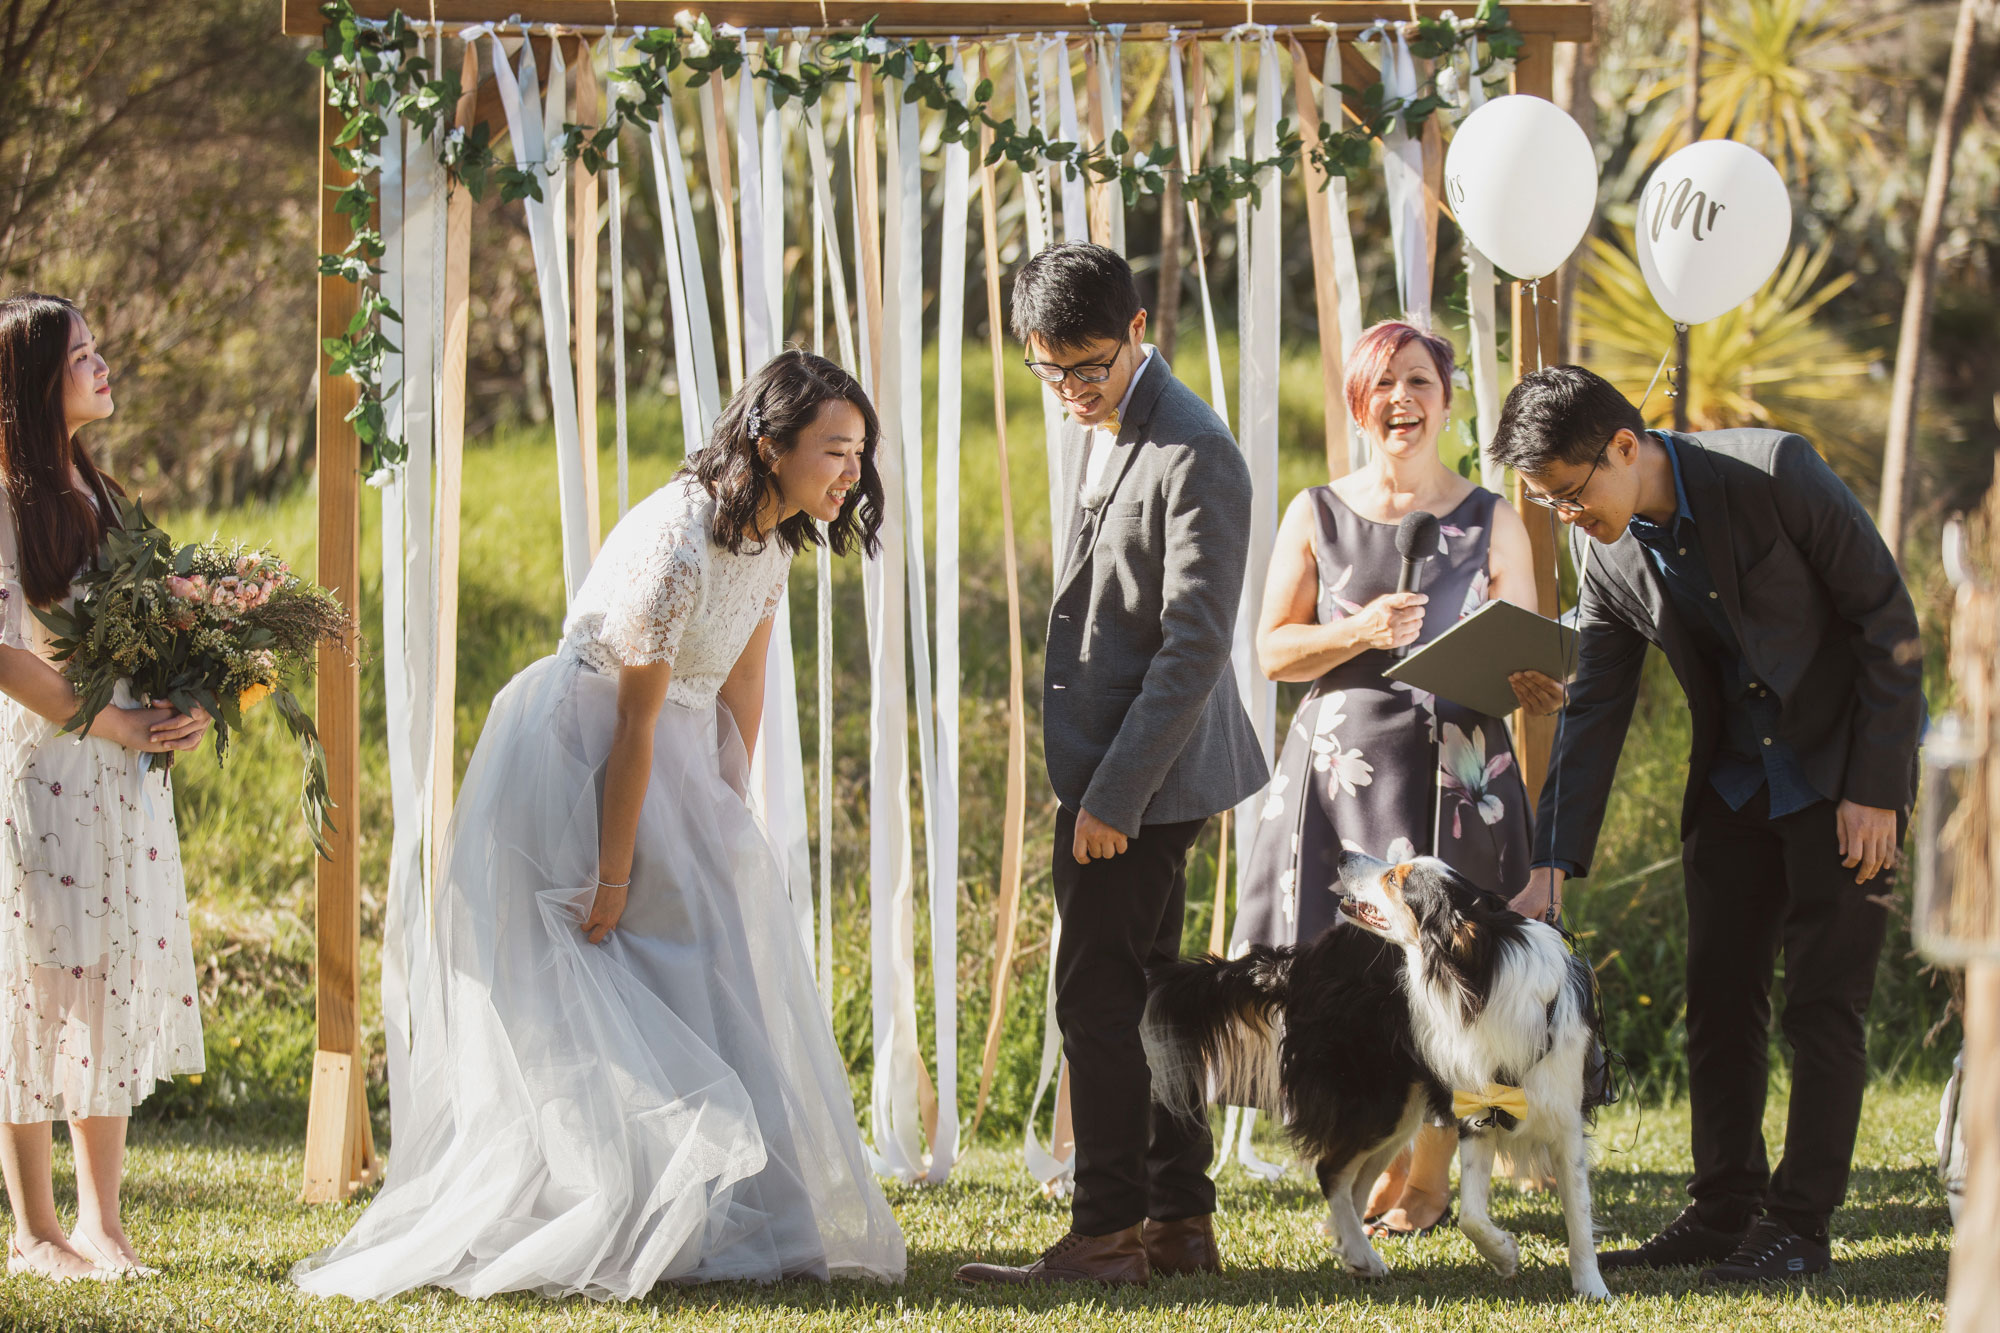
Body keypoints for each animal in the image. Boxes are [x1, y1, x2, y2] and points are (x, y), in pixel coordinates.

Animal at [1144, 852, 1608, 1296]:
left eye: (1395, 880)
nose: (1342, 856)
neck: (1483, 975)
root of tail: (1301, 960)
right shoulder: (1476, 1109)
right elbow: (1471, 1217)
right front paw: (1506, 1254)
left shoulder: (1558, 1119)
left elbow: (1576, 1212)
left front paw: (1591, 1287)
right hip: (1377, 1099)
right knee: (1331, 1171)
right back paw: (1363, 1254)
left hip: (1394, 1111)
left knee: (1352, 1182)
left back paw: (1355, 1250)